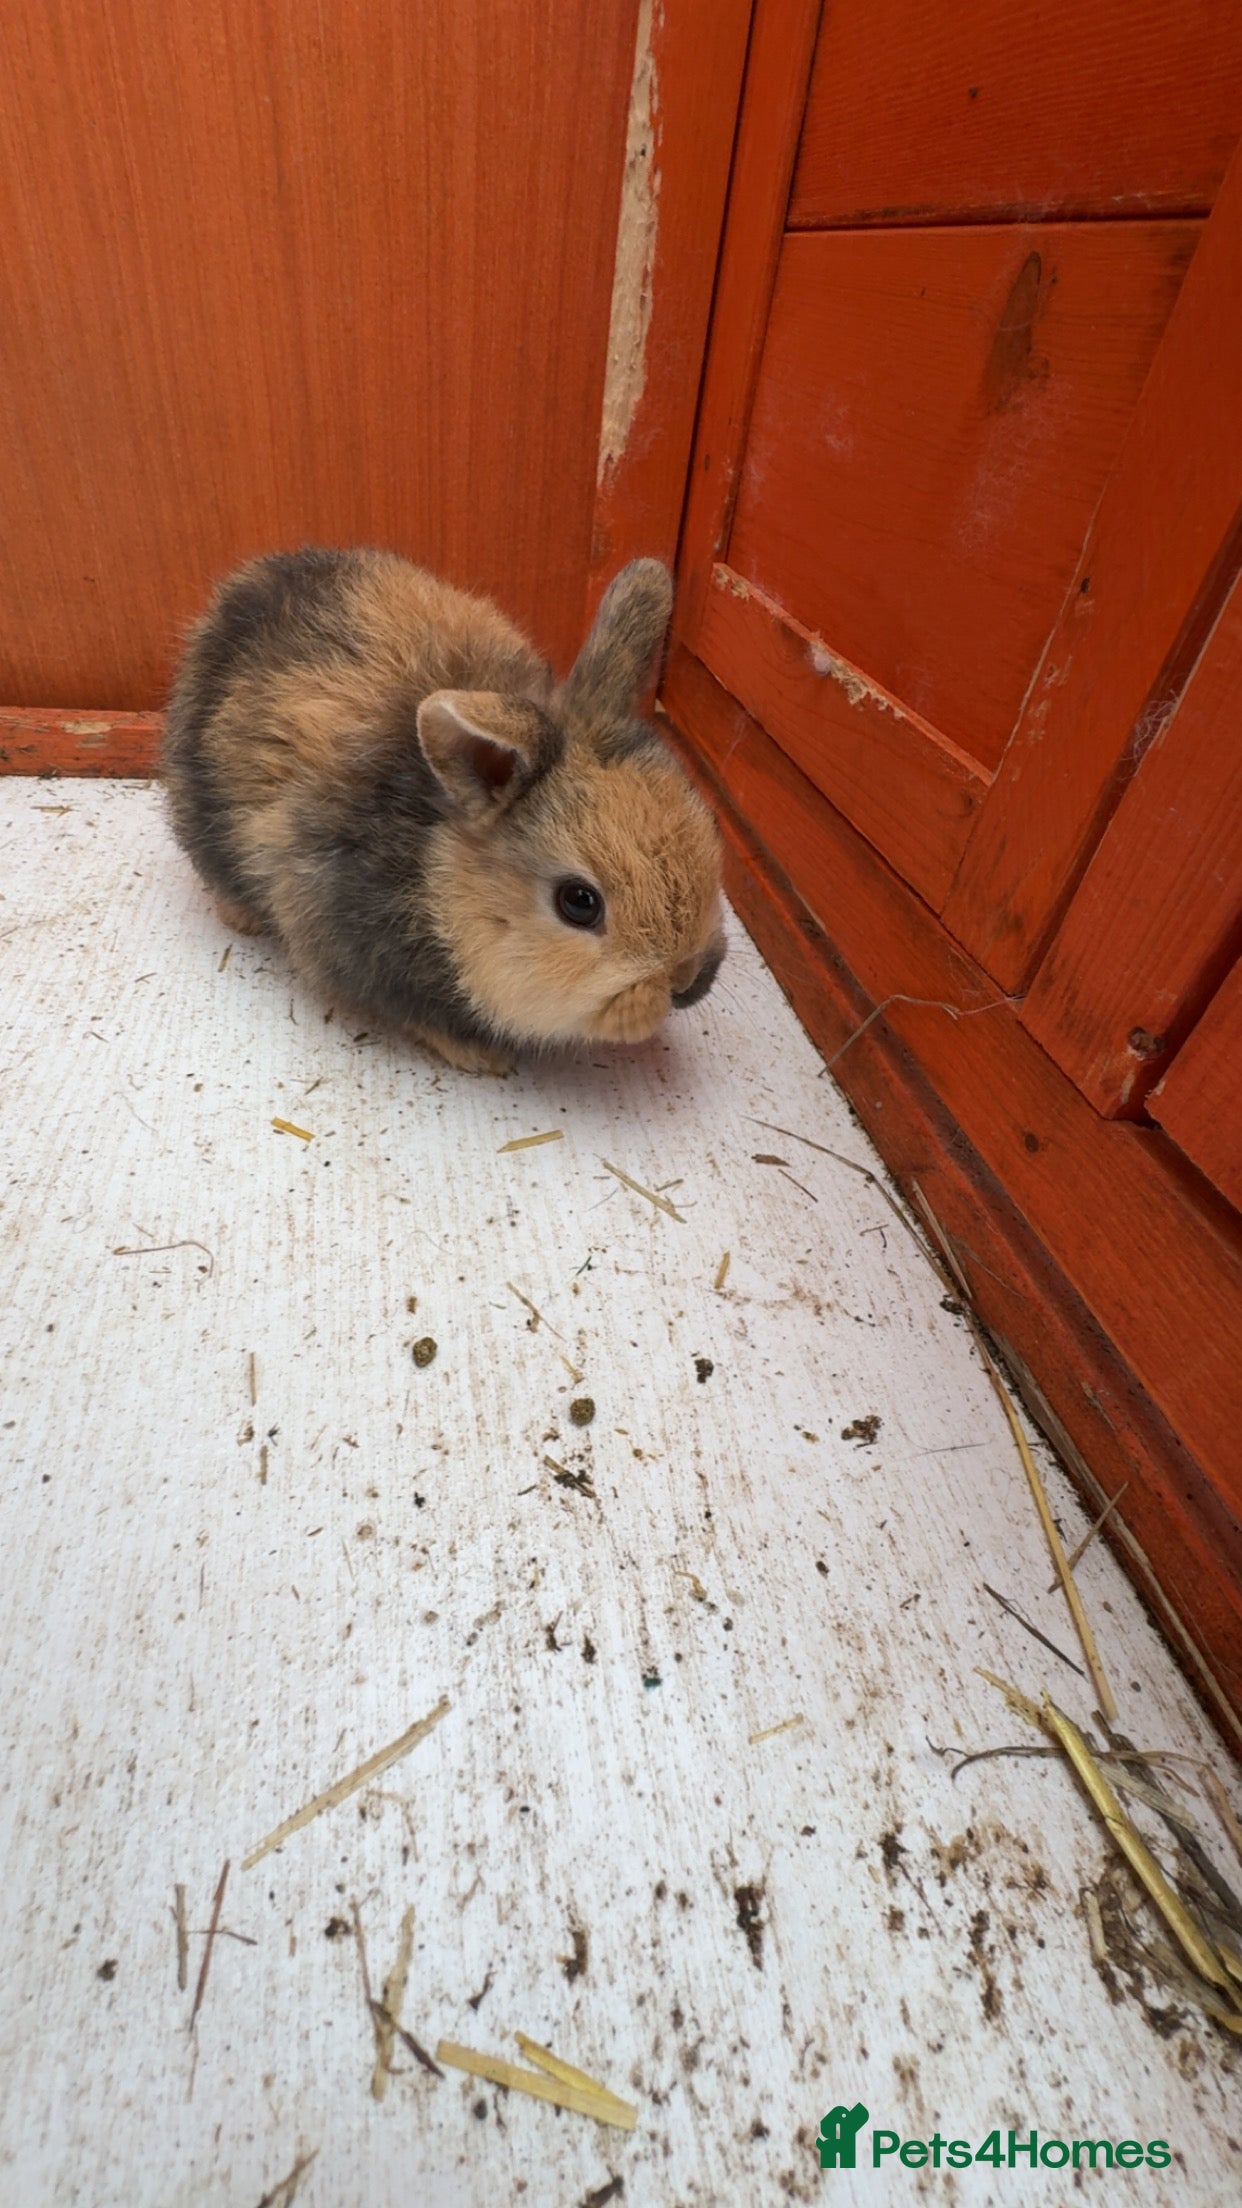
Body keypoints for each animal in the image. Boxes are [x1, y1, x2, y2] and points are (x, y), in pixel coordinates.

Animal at [161, 547, 725, 1073]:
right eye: (580, 902)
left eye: (709, 826)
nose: (686, 981)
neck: (433, 867)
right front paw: (485, 1058)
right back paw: (242, 919)